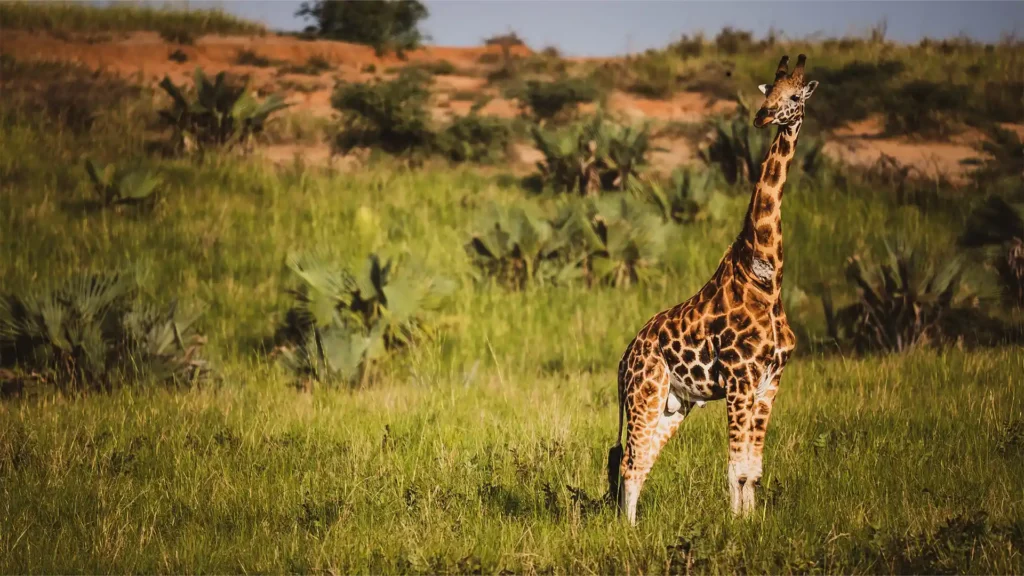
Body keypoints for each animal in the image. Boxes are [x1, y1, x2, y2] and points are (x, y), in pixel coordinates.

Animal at [606, 54, 815, 524]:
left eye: (795, 96)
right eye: (769, 93)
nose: (762, 116)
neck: (766, 278)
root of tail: (625, 358)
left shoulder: (770, 381)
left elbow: (753, 469)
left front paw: (751, 524)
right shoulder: (739, 378)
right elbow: (736, 469)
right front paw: (736, 526)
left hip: (675, 402)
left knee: (641, 461)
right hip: (645, 392)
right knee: (629, 461)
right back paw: (627, 531)